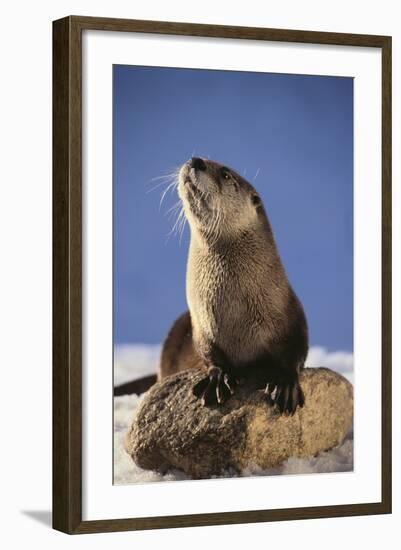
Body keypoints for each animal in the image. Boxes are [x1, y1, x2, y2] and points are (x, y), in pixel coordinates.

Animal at [159, 157, 306, 416]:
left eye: (226, 174)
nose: (195, 160)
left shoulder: (292, 314)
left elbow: (295, 352)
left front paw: (285, 384)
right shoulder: (201, 326)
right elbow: (209, 355)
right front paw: (219, 379)